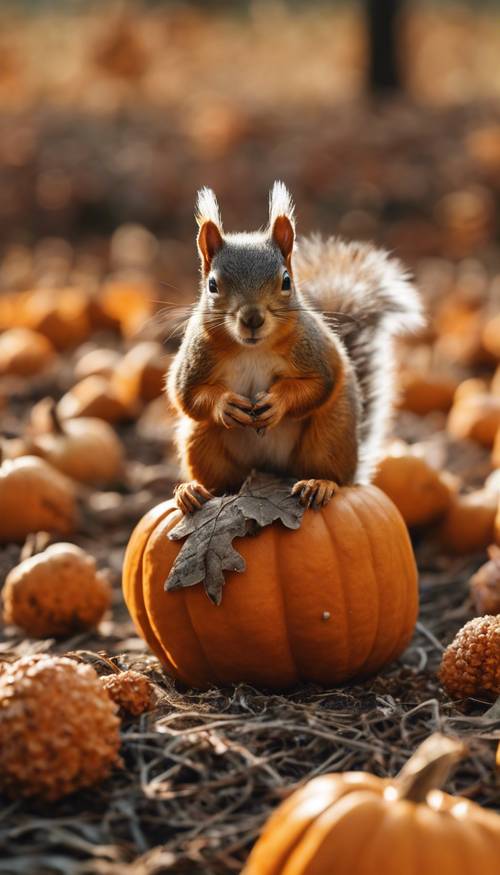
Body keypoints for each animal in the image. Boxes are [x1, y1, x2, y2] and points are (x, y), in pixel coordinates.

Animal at [168, 185, 422, 512]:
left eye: (286, 281)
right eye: (212, 284)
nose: (252, 318)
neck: (252, 349)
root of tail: (270, 469)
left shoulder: (316, 352)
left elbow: (318, 385)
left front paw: (277, 402)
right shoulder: (195, 358)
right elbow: (186, 394)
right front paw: (225, 404)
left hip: (330, 433)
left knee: (333, 473)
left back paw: (320, 484)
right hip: (200, 439)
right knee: (223, 482)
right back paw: (192, 491)